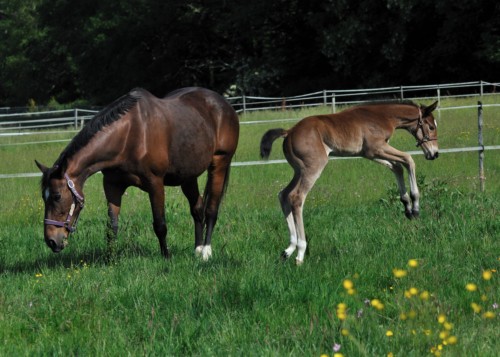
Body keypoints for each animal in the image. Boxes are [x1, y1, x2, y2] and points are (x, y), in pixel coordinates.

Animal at [35, 86, 238, 258]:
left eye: (57, 196)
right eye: (44, 197)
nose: (52, 241)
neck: (130, 135)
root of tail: (224, 104)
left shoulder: (155, 183)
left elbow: (160, 224)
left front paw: (166, 256)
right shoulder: (112, 186)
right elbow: (112, 226)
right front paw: (110, 259)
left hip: (219, 163)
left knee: (211, 210)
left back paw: (206, 252)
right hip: (188, 176)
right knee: (197, 209)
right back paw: (197, 249)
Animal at [262, 100, 438, 264]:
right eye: (430, 127)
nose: (434, 154)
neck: (382, 117)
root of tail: (289, 132)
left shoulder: (370, 153)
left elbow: (397, 167)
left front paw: (407, 207)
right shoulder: (376, 148)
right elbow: (409, 160)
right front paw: (415, 208)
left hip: (299, 170)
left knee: (283, 194)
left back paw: (289, 249)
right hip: (313, 167)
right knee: (296, 197)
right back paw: (300, 251)